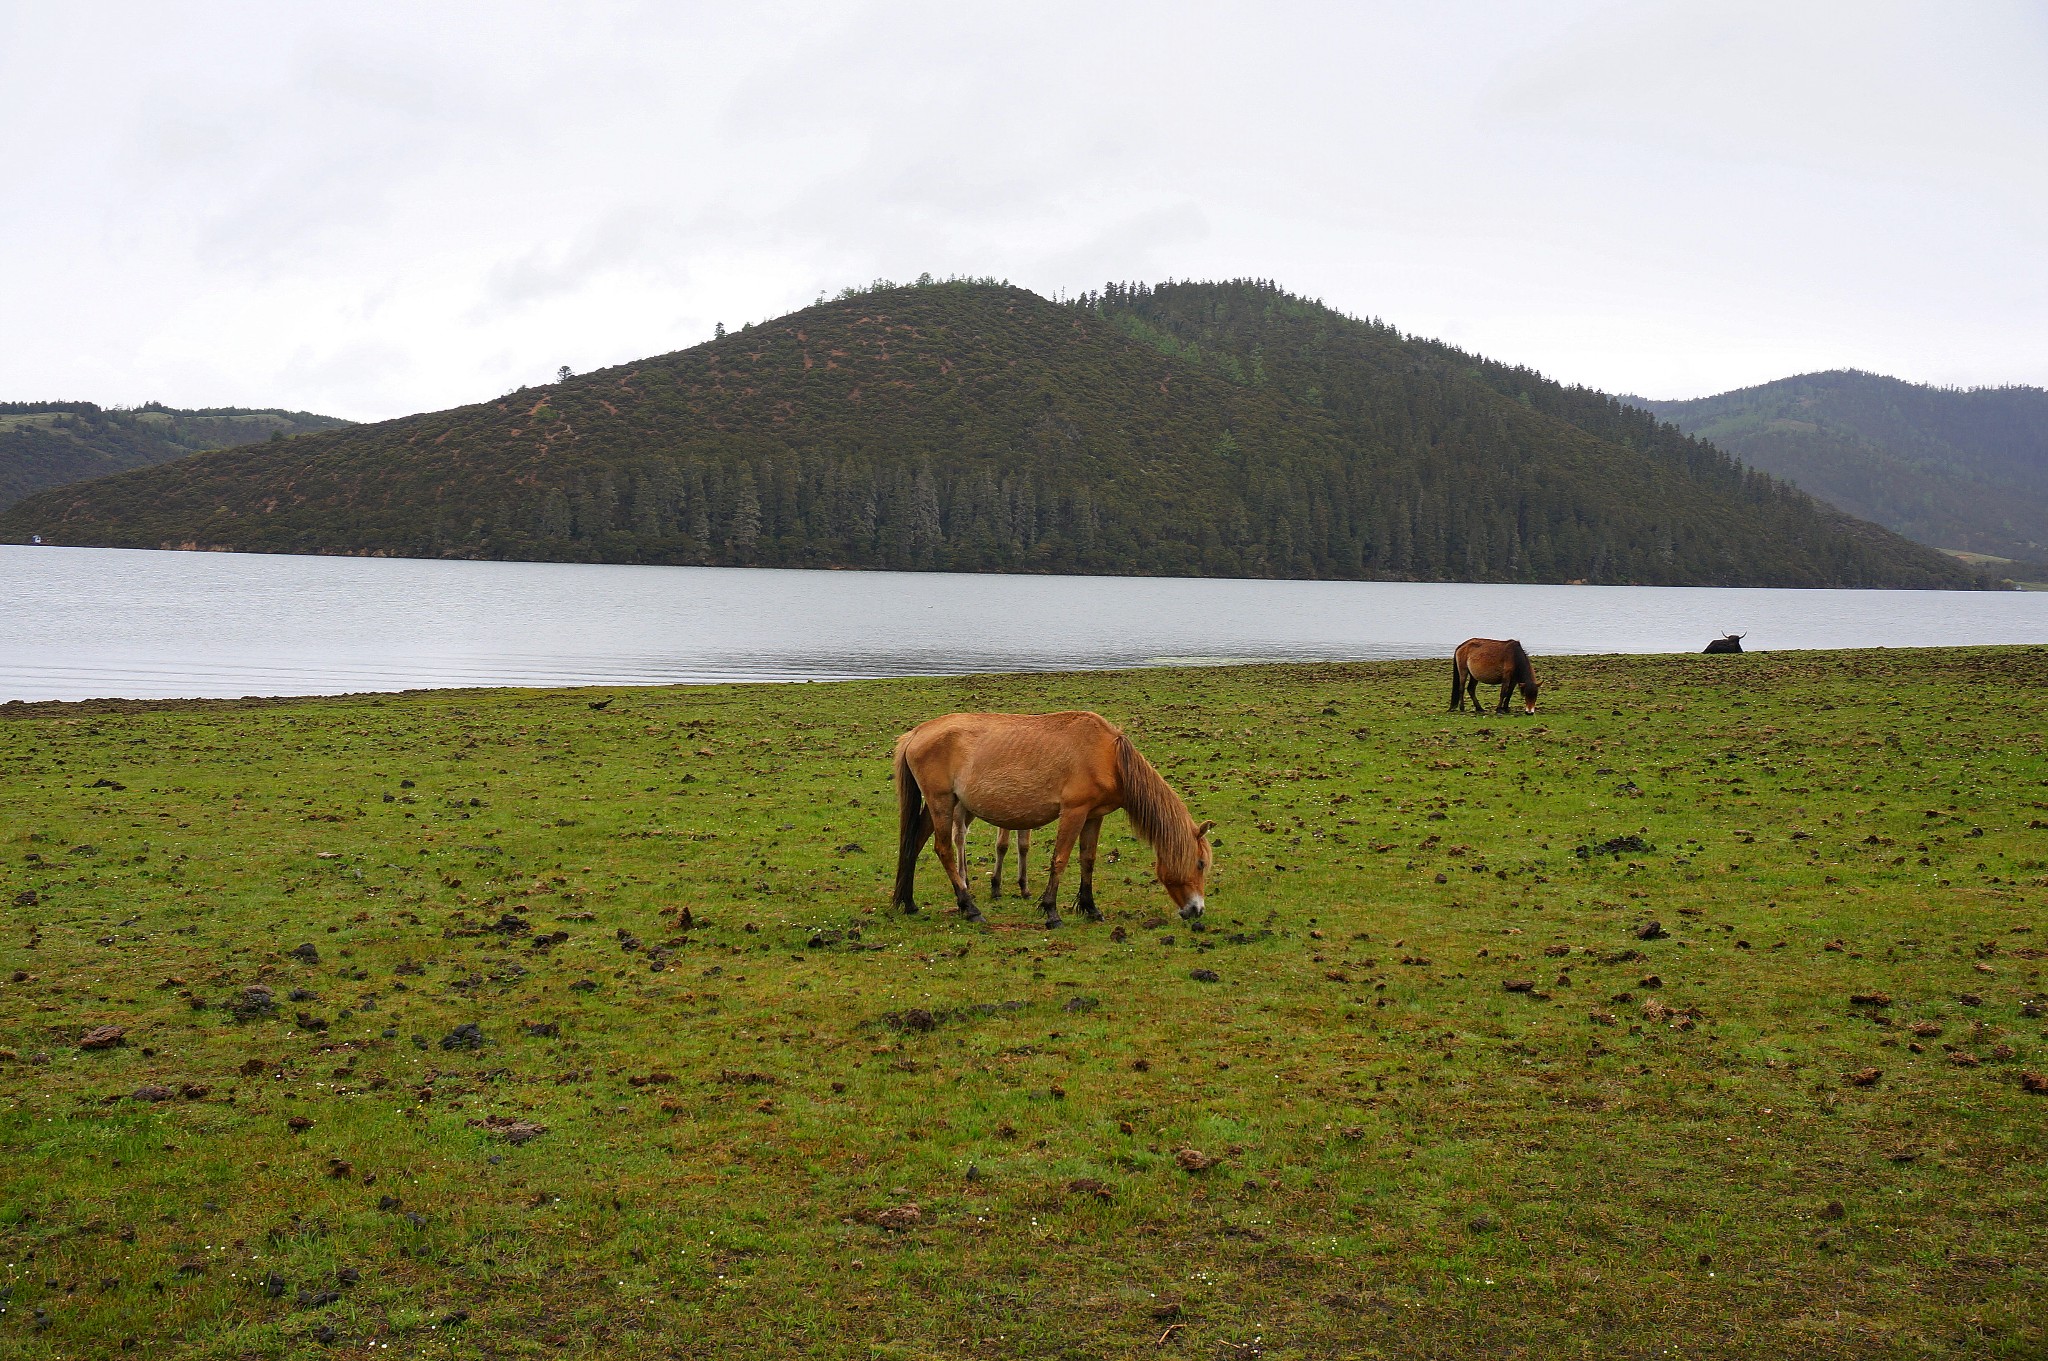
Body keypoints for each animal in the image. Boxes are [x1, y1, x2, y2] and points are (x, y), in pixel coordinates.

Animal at [888, 712, 1204, 925]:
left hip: (938, 806)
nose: (1197, 910)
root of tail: (916, 733)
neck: (1108, 755)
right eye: (1200, 863)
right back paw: (969, 908)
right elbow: (1060, 859)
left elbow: (1087, 859)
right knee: (943, 849)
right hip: (942, 803)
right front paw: (1051, 911)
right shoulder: (1074, 811)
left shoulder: (1093, 816)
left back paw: (908, 902)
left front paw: (1090, 908)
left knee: (914, 845)